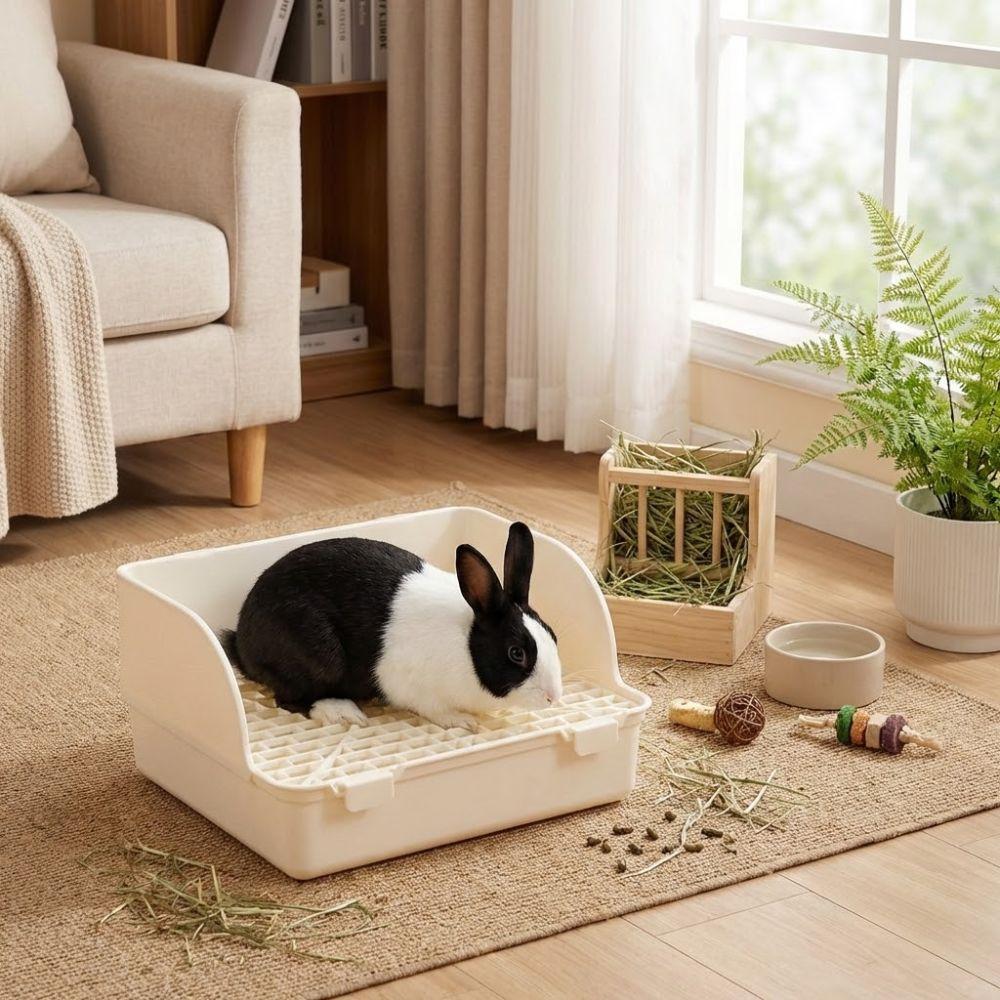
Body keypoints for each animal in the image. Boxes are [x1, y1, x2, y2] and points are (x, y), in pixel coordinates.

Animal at [221, 521, 563, 731]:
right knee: (290, 698)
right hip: (320, 653)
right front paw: (462, 721)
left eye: (554, 636)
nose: (553, 698)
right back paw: (343, 712)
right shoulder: (415, 688)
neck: (467, 647)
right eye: (517, 653)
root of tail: (242, 641)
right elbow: (435, 709)